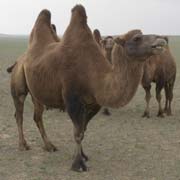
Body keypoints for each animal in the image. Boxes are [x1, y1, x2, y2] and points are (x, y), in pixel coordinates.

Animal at [7, 4, 167, 172]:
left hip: (37, 93)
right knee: (19, 113)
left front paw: (82, 156)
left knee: (37, 116)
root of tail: (20, 59)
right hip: (19, 85)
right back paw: (23, 145)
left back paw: (49, 146)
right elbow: (77, 133)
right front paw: (78, 164)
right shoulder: (72, 100)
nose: (161, 40)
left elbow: (83, 130)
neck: (94, 77)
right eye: (136, 38)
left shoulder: (93, 104)